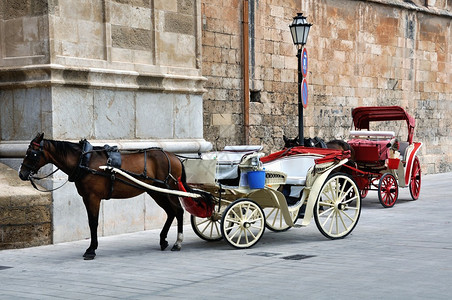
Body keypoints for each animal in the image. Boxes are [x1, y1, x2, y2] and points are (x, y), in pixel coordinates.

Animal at [19, 132, 192, 258]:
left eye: (31, 153)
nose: (22, 174)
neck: (84, 160)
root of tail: (175, 157)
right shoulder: (86, 198)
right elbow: (91, 222)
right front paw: (92, 247)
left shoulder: (92, 197)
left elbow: (93, 223)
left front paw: (91, 250)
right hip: (156, 191)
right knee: (170, 212)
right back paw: (163, 240)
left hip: (169, 190)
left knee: (178, 211)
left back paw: (178, 242)